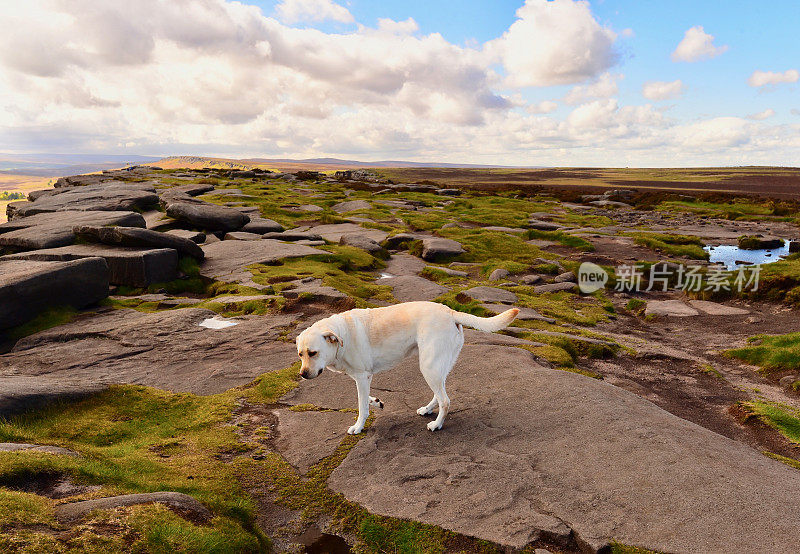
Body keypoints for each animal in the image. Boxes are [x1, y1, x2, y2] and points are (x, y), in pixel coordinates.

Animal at [294, 302, 520, 432]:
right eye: (300, 354)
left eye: (313, 353)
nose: (303, 374)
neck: (342, 335)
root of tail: (450, 311)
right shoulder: (362, 377)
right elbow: (364, 399)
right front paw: (376, 401)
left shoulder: (361, 376)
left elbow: (361, 406)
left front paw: (358, 426)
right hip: (438, 365)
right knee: (439, 393)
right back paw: (428, 410)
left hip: (428, 366)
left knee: (445, 400)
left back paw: (437, 424)